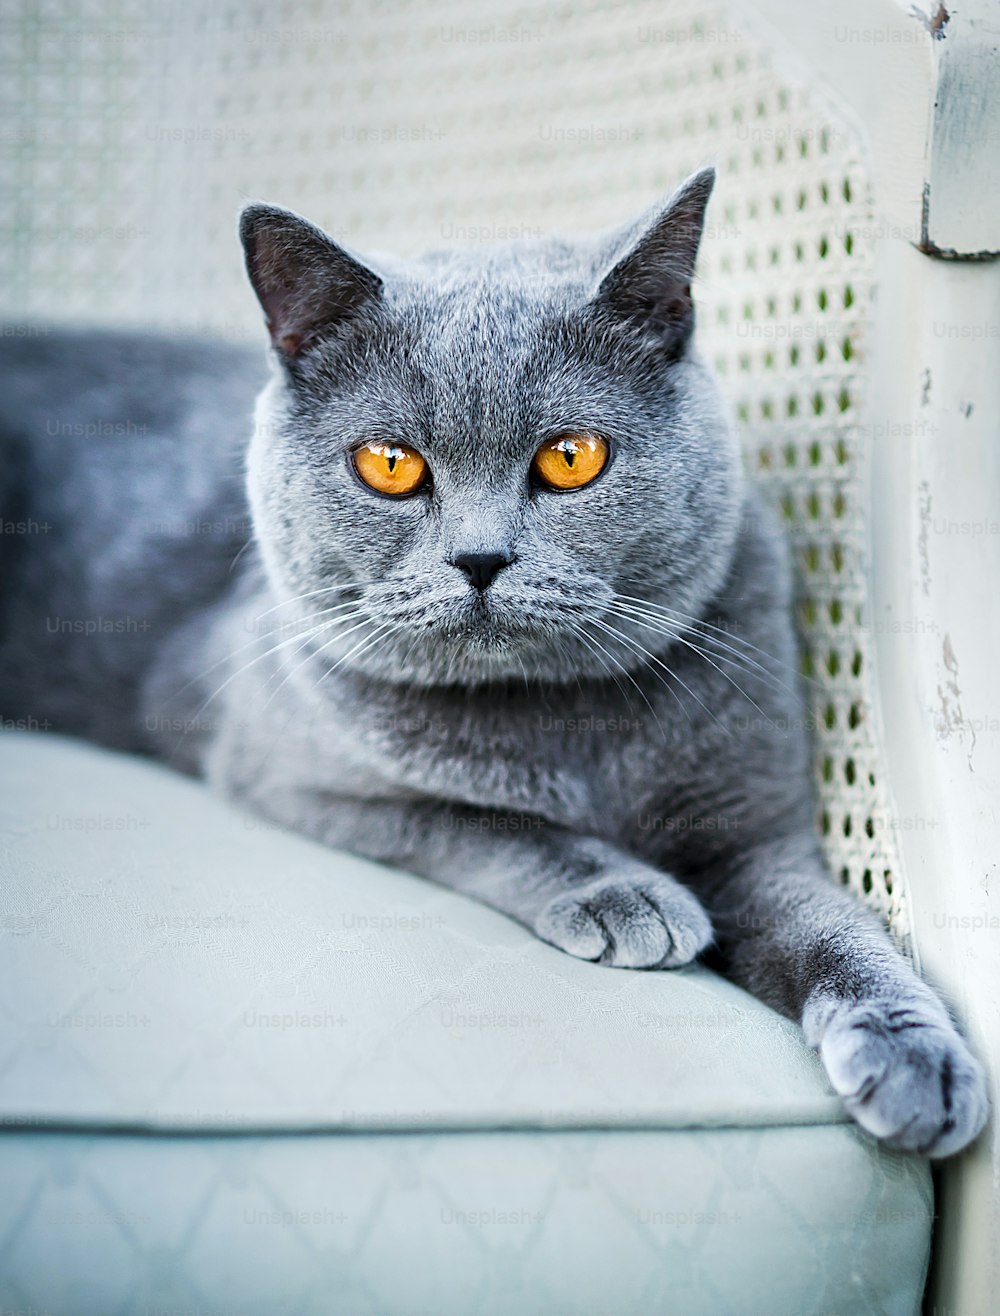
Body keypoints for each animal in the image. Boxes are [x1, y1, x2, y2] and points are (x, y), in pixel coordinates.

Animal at [0, 169, 984, 1158]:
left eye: (572, 457)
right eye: (389, 464)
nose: (480, 558)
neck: (563, 722)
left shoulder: (758, 829)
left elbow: (831, 924)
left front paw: (918, 1058)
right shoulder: (286, 771)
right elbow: (485, 821)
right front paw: (626, 895)